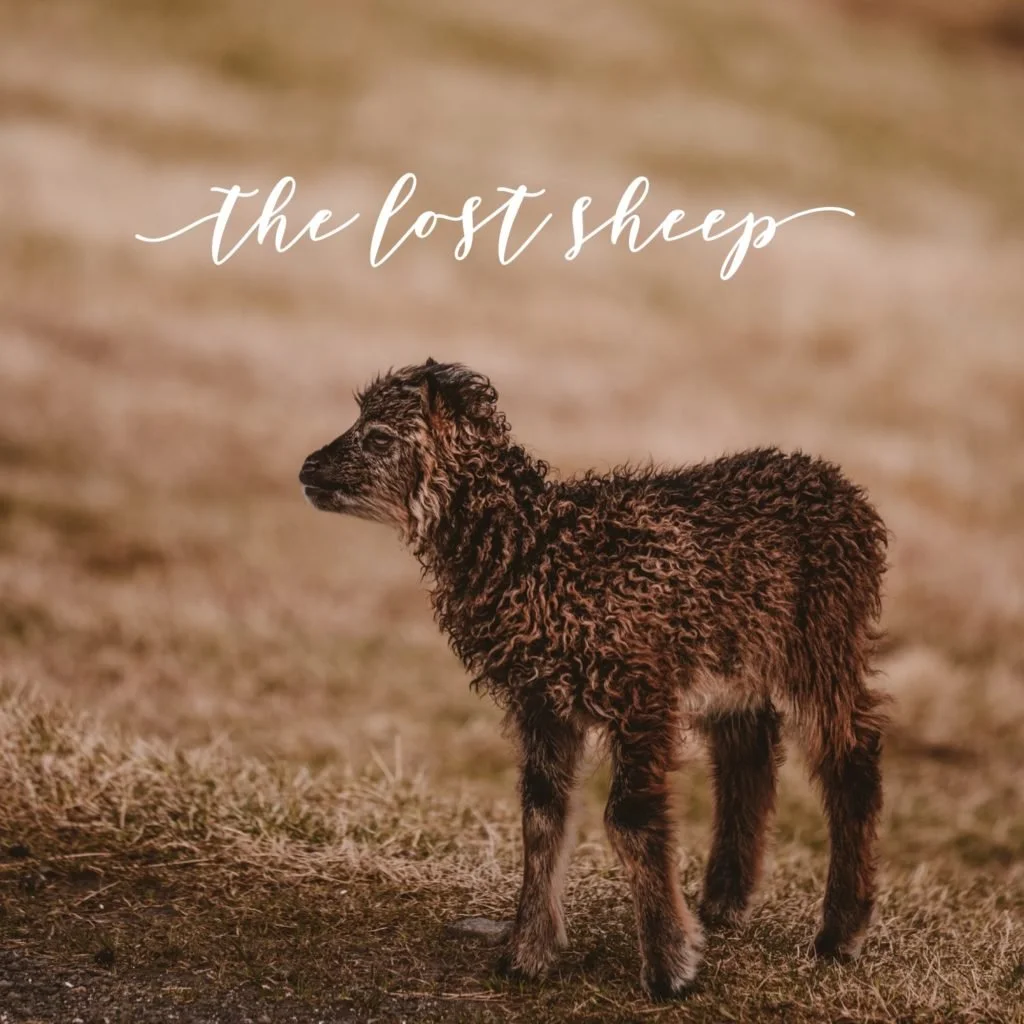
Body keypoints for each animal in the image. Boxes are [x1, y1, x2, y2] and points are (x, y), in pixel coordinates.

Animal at [299, 359, 889, 1000]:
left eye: (380, 437)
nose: (309, 469)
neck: (538, 552)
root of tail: (841, 488)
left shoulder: (640, 688)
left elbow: (629, 819)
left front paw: (669, 967)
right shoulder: (541, 699)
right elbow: (541, 813)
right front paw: (528, 953)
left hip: (823, 645)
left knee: (849, 756)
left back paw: (839, 935)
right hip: (736, 661)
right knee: (748, 750)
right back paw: (724, 904)